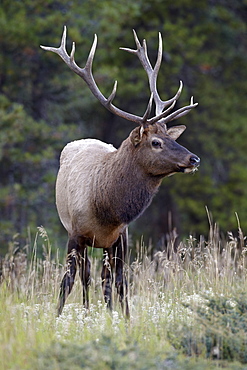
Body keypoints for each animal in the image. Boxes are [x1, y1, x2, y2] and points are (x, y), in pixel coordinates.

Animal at [40, 27, 199, 316]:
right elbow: (66, 281)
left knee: (102, 278)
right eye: (155, 142)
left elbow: (120, 282)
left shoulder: (121, 237)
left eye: (168, 137)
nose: (194, 158)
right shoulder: (75, 234)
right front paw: (56, 318)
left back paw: (102, 311)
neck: (106, 210)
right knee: (86, 275)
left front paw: (124, 319)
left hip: (104, 246)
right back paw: (87, 311)